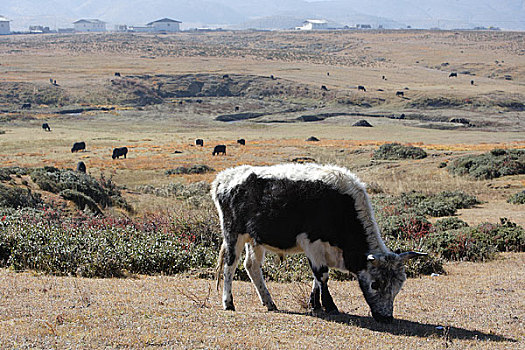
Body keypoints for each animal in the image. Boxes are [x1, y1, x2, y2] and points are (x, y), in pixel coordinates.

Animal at [213, 164, 426, 322]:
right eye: (375, 284)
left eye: (398, 286)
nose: (386, 318)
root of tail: (224, 178)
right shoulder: (313, 243)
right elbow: (322, 275)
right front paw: (330, 306)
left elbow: (316, 278)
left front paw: (314, 304)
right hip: (233, 234)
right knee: (230, 266)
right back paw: (228, 303)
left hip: (255, 240)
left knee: (252, 266)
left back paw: (269, 302)